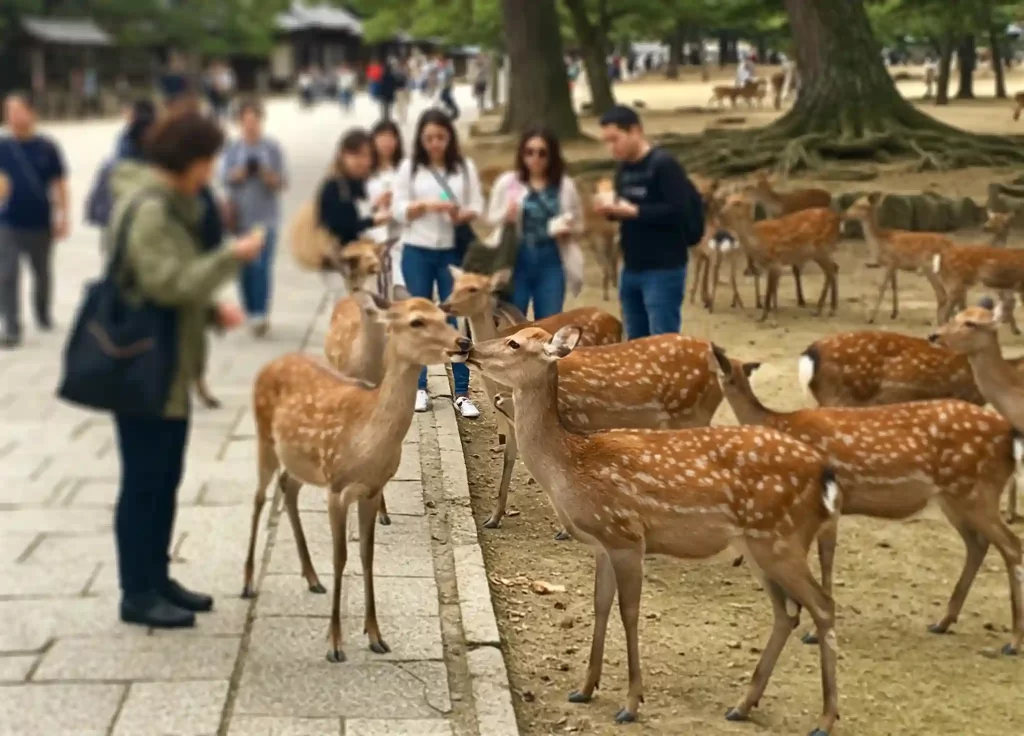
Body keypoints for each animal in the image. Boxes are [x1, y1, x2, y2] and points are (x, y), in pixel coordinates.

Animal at [242, 296, 472, 659]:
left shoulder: (373, 489)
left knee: (287, 487)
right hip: (265, 437)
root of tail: (269, 365)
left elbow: (367, 556)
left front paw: (375, 635)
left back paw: (311, 578)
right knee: (259, 497)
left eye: (443, 315)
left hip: (300, 460)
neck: (366, 442)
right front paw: (335, 643)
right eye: (417, 321)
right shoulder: (337, 488)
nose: (463, 342)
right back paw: (249, 583)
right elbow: (341, 558)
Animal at [465, 326, 842, 734]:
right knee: (787, 612)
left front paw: (630, 704)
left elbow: (629, 612)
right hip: (761, 545)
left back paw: (825, 718)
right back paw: (742, 705)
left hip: (780, 539)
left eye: (514, 343)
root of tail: (824, 474)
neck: (570, 468)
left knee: (823, 606)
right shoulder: (602, 544)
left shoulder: (626, 535)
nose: (467, 347)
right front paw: (584, 688)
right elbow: (600, 605)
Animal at [711, 345, 1023, 652]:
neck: (777, 421)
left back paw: (1012, 642)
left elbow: (825, 561)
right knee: (978, 544)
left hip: (976, 491)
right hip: (953, 497)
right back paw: (942, 622)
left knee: (1011, 545)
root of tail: (1011, 436)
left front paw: (811, 632)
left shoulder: (827, 507)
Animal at [718, 193, 841, 323]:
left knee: (831, 271)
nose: (721, 213)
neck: (758, 242)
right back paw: (825, 309)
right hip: (819, 253)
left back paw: (826, 310)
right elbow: (770, 289)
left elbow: (770, 291)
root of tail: (838, 218)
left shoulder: (775, 262)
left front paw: (769, 318)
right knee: (832, 269)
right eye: (725, 200)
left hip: (822, 249)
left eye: (738, 203)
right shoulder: (768, 265)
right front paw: (764, 316)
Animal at [844, 193, 951, 324]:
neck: (880, 242)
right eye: (854, 202)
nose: (845, 214)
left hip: (930, 268)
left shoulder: (890, 262)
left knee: (942, 294)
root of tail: (952, 245)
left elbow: (882, 288)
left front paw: (871, 318)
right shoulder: (895, 265)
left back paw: (934, 321)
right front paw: (894, 313)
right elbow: (894, 287)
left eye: (859, 205)